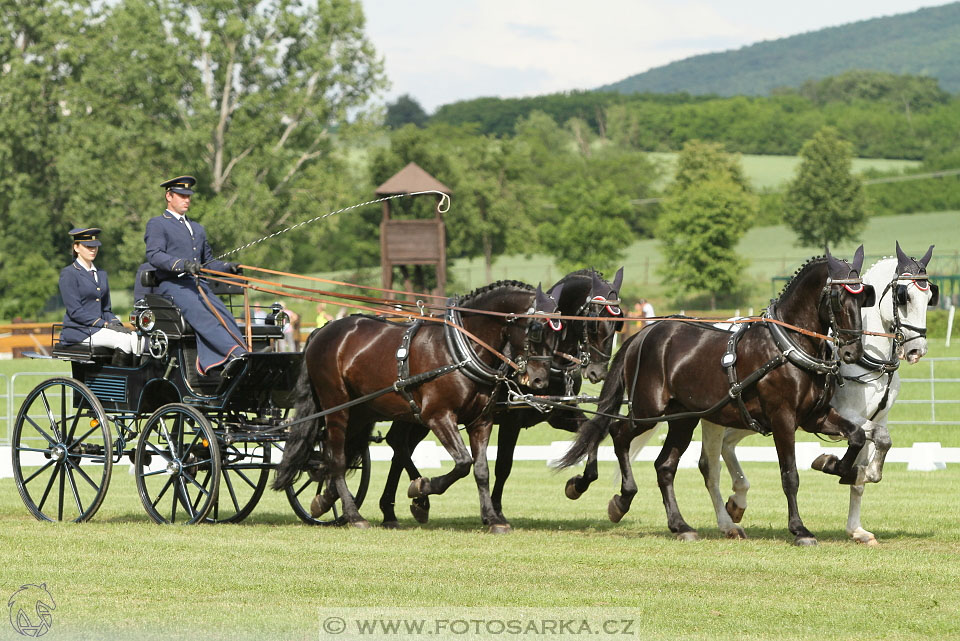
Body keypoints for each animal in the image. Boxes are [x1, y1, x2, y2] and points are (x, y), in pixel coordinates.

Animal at [272, 280, 564, 528]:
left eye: (559, 335)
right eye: (535, 331)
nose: (539, 380)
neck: (459, 350)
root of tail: (323, 330)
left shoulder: (481, 420)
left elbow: (481, 469)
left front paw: (492, 519)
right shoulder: (438, 416)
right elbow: (463, 463)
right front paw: (421, 488)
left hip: (362, 411)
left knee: (342, 453)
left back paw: (326, 499)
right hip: (338, 407)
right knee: (338, 457)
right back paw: (354, 515)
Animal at [378, 268, 628, 528]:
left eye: (618, 323)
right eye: (593, 323)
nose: (598, 372)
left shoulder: (556, 415)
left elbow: (591, 433)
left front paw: (579, 484)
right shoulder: (511, 419)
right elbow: (504, 465)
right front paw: (496, 511)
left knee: (400, 446)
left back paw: (396, 507)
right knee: (399, 444)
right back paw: (415, 498)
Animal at [560, 248, 880, 544]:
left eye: (863, 297)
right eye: (838, 297)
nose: (852, 352)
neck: (787, 345)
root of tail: (645, 333)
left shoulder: (816, 416)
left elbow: (856, 436)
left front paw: (836, 466)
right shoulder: (783, 419)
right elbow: (790, 475)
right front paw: (799, 529)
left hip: (683, 419)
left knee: (664, 467)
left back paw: (680, 526)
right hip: (648, 410)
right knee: (617, 433)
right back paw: (619, 498)